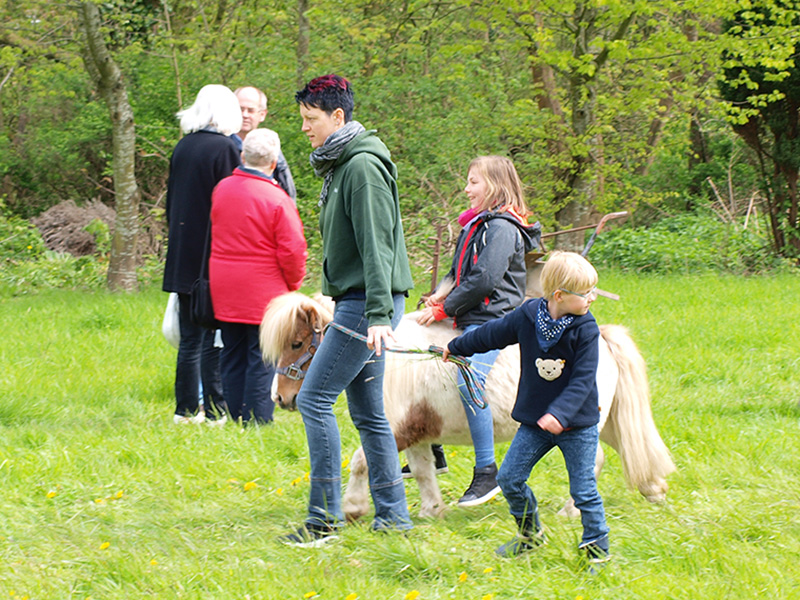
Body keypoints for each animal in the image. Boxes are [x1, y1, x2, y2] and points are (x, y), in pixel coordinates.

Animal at [260, 291, 675, 519]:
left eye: (297, 343)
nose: (280, 398)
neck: (390, 361)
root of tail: (600, 338)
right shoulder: (418, 433)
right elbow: (423, 470)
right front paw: (430, 510)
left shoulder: (395, 428)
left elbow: (361, 461)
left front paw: (354, 508)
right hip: (602, 422)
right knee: (629, 448)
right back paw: (654, 489)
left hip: (578, 426)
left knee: (596, 461)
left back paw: (572, 510)